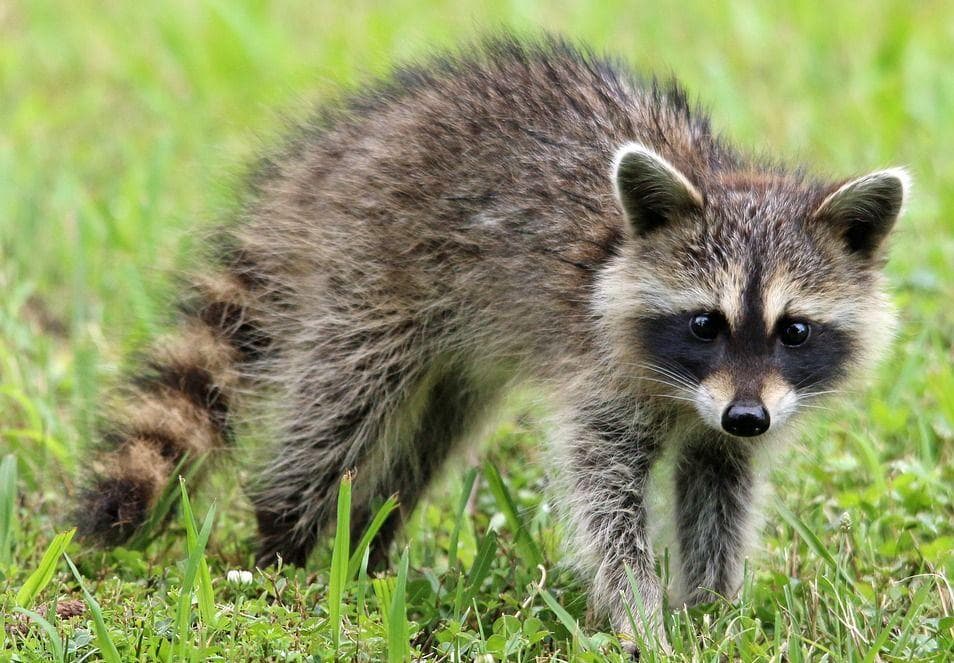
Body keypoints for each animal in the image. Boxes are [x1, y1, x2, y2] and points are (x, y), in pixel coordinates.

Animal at [75, 36, 908, 649]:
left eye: (794, 330)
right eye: (706, 322)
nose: (747, 417)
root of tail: (342, 147)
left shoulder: (733, 414)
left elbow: (719, 488)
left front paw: (712, 608)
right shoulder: (601, 371)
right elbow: (602, 492)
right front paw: (640, 613)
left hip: (455, 348)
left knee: (429, 434)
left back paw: (369, 541)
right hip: (372, 268)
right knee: (341, 407)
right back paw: (284, 540)